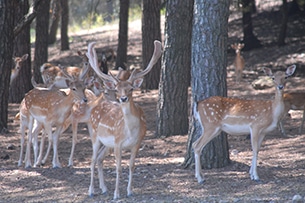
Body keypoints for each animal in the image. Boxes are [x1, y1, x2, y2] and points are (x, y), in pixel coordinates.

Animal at [85, 40, 162, 199]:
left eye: (131, 88)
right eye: (116, 89)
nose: (123, 98)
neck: (130, 131)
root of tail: (95, 107)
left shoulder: (137, 143)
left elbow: (132, 166)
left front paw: (129, 191)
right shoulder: (117, 142)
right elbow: (119, 168)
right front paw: (116, 194)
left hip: (106, 144)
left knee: (100, 159)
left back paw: (104, 188)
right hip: (94, 136)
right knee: (92, 160)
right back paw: (91, 191)